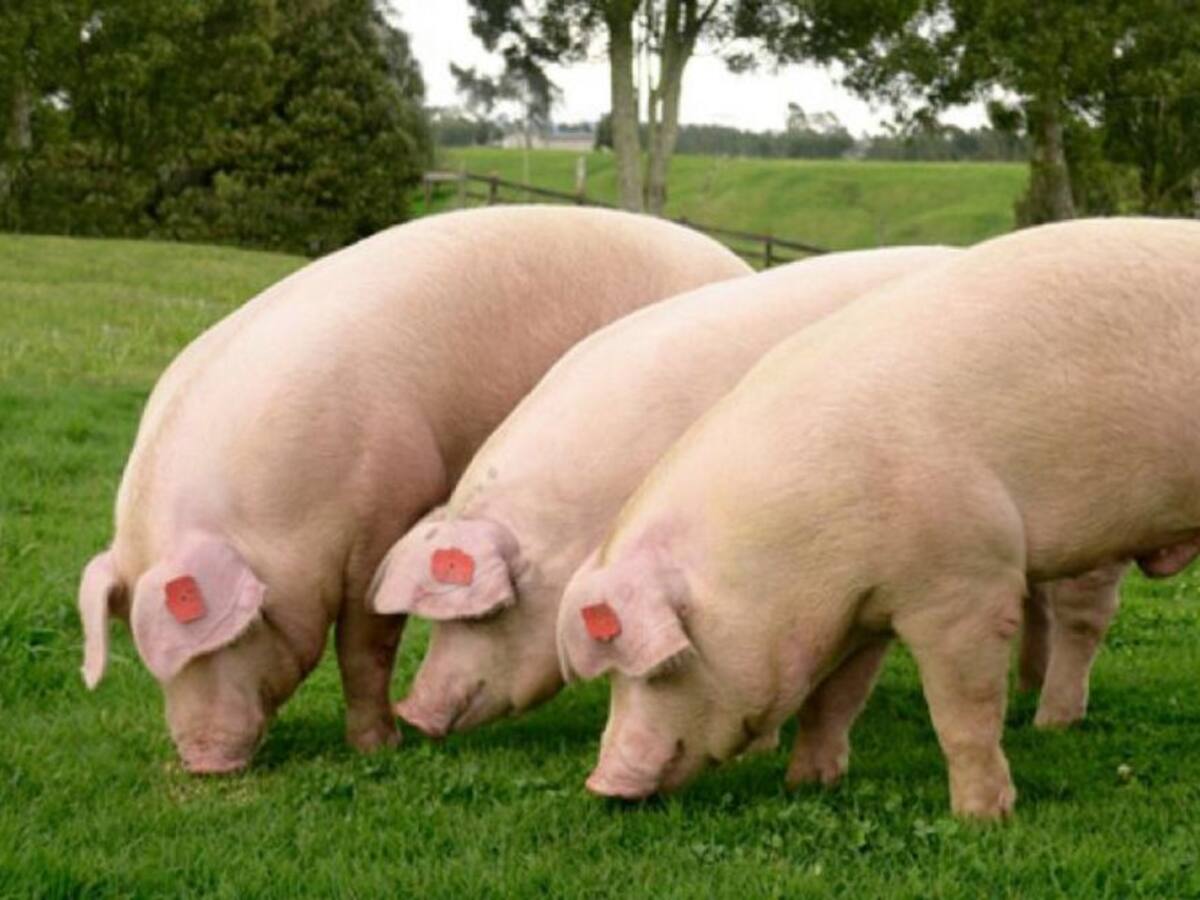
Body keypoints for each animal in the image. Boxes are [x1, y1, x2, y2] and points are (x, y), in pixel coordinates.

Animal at [77, 205, 751, 774]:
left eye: (235, 633)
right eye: (144, 652)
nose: (202, 762)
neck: (285, 510)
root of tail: (735, 262)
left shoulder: (383, 511)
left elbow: (365, 643)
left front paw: (378, 747)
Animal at [558, 217, 1200, 819]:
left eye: (659, 670)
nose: (601, 783)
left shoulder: (966, 583)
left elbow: (963, 714)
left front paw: (981, 818)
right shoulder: (861, 609)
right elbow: (834, 699)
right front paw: (807, 784)